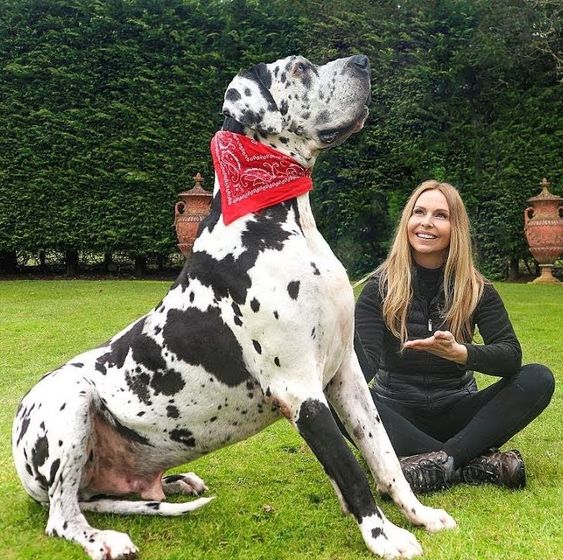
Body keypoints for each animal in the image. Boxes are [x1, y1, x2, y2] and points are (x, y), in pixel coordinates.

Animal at [12, 53, 458, 560]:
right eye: (299, 68)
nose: (363, 61)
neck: (277, 220)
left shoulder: (346, 376)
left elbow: (383, 456)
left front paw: (419, 515)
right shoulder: (299, 389)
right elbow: (350, 469)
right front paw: (384, 537)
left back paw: (177, 482)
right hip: (70, 398)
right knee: (62, 517)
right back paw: (101, 537)